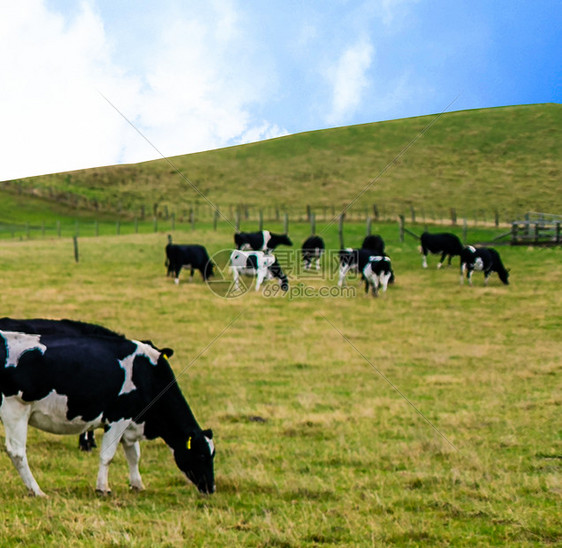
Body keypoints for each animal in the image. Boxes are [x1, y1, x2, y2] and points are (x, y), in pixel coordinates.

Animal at [0, 316, 214, 496]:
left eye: (213, 454)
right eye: (202, 455)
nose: (211, 488)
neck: (149, 375)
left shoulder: (131, 422)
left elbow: (134, 455)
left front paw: (137, 485)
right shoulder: (119, 417)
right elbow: (108, 455)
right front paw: (102, 488)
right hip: (15, 409)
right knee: (17, 452)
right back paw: (37, 491)